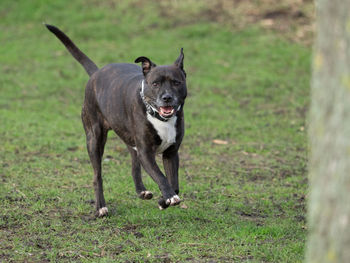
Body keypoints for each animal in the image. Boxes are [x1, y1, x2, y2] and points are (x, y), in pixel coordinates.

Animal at [46, 24, 189, 218]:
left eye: (176, 82)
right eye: (155, 83)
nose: (167, 98)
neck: (159, 118)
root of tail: (96, 72)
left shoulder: (171, 153)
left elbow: (173, 183)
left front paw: (163, 200)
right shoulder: (146, 152)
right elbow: (160, 177)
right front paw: (168, 198)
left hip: (128, 137)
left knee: (134, 164)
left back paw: (141, 191)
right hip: (94, 139)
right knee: (97, 175)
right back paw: (100, 207)